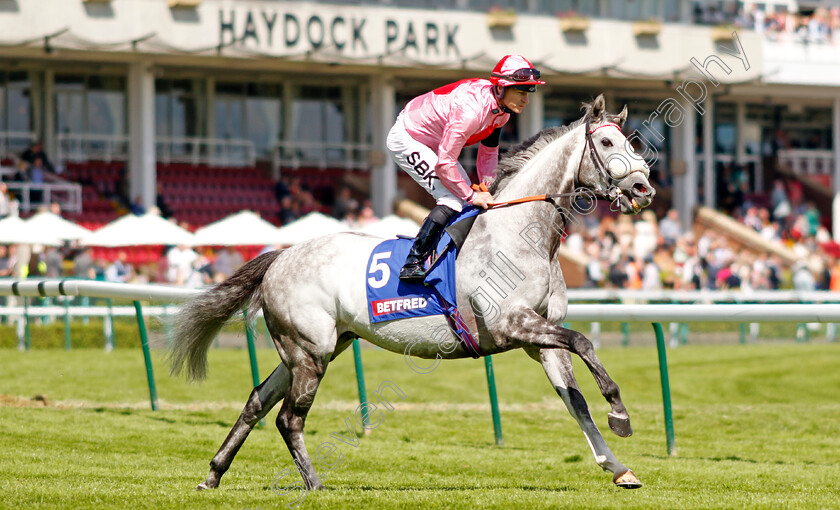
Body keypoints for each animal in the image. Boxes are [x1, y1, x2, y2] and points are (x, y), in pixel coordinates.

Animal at [171, 94, 656, 494]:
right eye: (607, 142)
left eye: (632, 141)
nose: (644, 188)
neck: (520, 233)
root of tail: (280, 257)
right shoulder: (514, 325)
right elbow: (584, 341)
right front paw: (620, 412)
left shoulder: (540, 338)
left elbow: (576, 401)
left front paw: (618, 468)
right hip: (310, 350)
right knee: (289, 418)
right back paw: (314, 483)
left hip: (316, 347)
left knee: (257, 400)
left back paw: (213, 473)